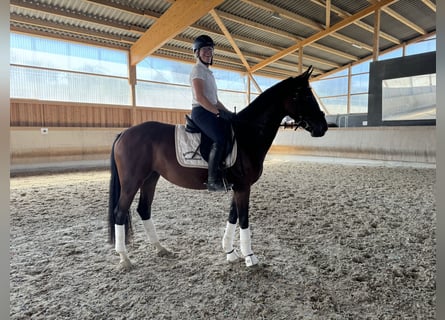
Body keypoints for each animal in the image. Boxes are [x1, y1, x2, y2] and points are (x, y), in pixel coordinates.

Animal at [109, 67, 328, 270]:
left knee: (143, 209)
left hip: (150, 178)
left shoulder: (238, 186)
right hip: (132, 182)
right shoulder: (243, 187)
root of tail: (125, 133)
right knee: (120, 212)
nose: (323, 126)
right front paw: (250, 257)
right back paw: (125, 258)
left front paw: (230, 252)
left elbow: (233, 216)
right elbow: (244, 218)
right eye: (305, 95)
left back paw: (161, 249)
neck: (247, 134)